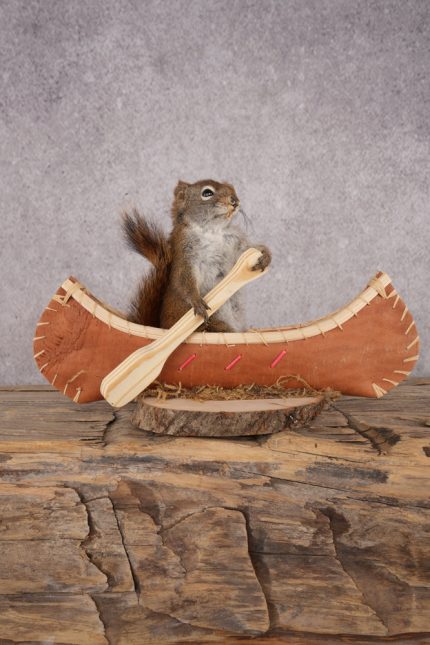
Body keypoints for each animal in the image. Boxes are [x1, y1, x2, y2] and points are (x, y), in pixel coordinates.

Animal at [123, 179, 271, 333]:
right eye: (207, 193)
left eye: (232, 189)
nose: (235, 201)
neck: (213, 230)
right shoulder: (185, 253)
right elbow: (184, 280)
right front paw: (197, 302)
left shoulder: (236, 244)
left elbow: (246, 251)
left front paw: (265, 256)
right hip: (214, 323)